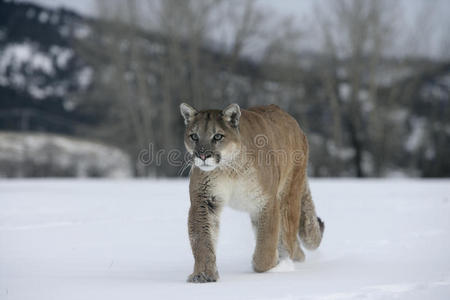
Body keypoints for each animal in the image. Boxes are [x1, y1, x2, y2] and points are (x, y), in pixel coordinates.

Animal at [179, 102, 324, 282]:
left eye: (218, 136)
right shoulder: (204, 200)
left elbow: (266, 243)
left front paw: (268, 265)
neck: (229, 169)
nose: (203, 155)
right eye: (194, 136)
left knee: (288, 237)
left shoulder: (266, 201)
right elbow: (202, 239)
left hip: (288, 196)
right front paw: (203, 274)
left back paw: (286, 261)